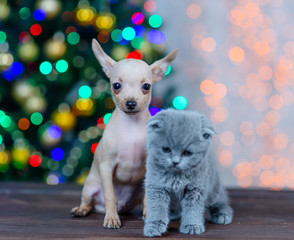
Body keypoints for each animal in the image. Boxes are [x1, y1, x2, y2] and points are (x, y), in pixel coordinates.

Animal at [70, 39, 179, 229]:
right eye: (116, 86)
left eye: (146, 86)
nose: (130, 103)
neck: (132, 127)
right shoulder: (106, 167)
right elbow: (110, 196)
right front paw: (112, 218)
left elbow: (149, 197)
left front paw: (151, 215)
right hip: (90, 186)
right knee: (89, 201)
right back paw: (82, 210)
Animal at [144, 109, 233, 237]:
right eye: (166, 149)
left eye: (187, 153)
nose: (175, 162)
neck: (176, 175)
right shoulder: (156, 187)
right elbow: (157, 208)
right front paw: (153, 226)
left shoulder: (196, 189)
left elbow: (193, 209)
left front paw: (192, 225)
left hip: (213, 190)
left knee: (221, 199)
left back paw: (222, 214)